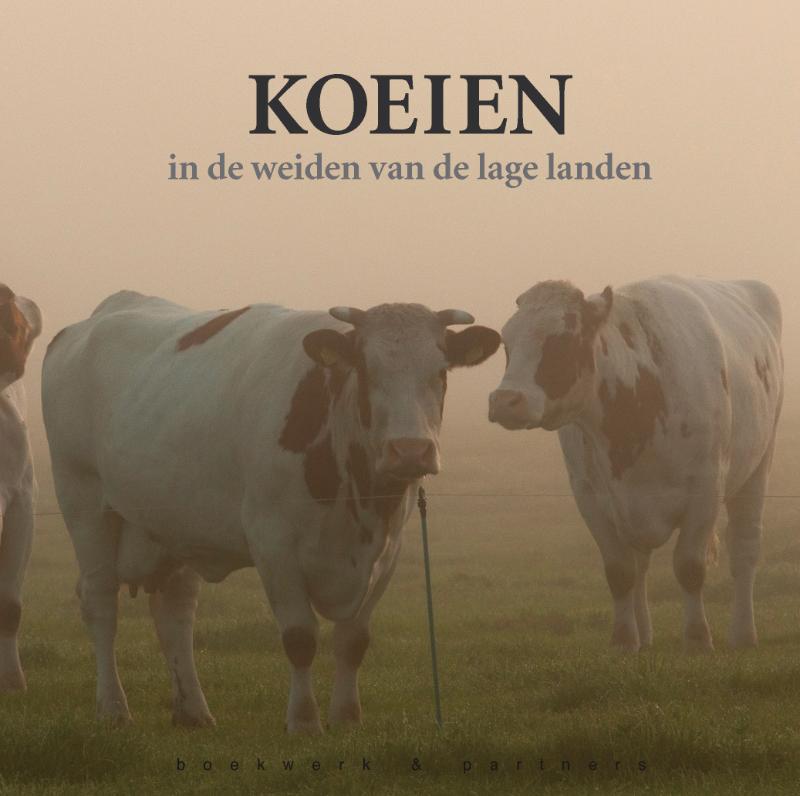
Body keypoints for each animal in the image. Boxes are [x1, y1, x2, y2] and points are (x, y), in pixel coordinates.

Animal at [42, 291, 500, 731]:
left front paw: (347, 716)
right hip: (83, 502)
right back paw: (114, 709)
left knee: (175, 612)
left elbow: (353, 639)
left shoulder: (389, 549)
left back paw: (193, 711)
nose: (410, 450)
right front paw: (304, 720)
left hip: (174, 524)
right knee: (101, 602)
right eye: (367, 371)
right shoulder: (273, 543)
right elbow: (300, 638)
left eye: (440, 372)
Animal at [489, 277, 782, 652]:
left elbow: (689, 567)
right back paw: (645, 635)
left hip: (759, 465)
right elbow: (620, 572)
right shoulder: (590, 496)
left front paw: (697, 640)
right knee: (640, 564)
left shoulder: (706, 488)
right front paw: (624, 640)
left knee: (744, 548)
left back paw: (743, 634)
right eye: (506, 342)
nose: (504, 401)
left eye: (562, 340)